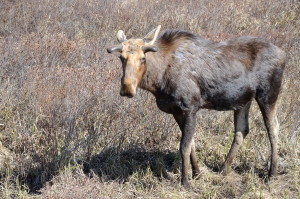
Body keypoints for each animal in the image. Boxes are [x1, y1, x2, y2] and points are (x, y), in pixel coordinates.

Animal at [106, 25, 284, 187]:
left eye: (143, 58)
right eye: (121, 57)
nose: (127, 88)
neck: (158, 81)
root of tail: (284, 54)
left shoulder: (190, 107)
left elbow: (184, 146)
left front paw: (185, 181)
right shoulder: (176, 111)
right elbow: (191, 144)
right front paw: (197, 173)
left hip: (268, 94)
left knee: (273, 128)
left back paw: (272, 173)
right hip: (243, 100)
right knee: (242, 130)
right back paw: (223, 169)